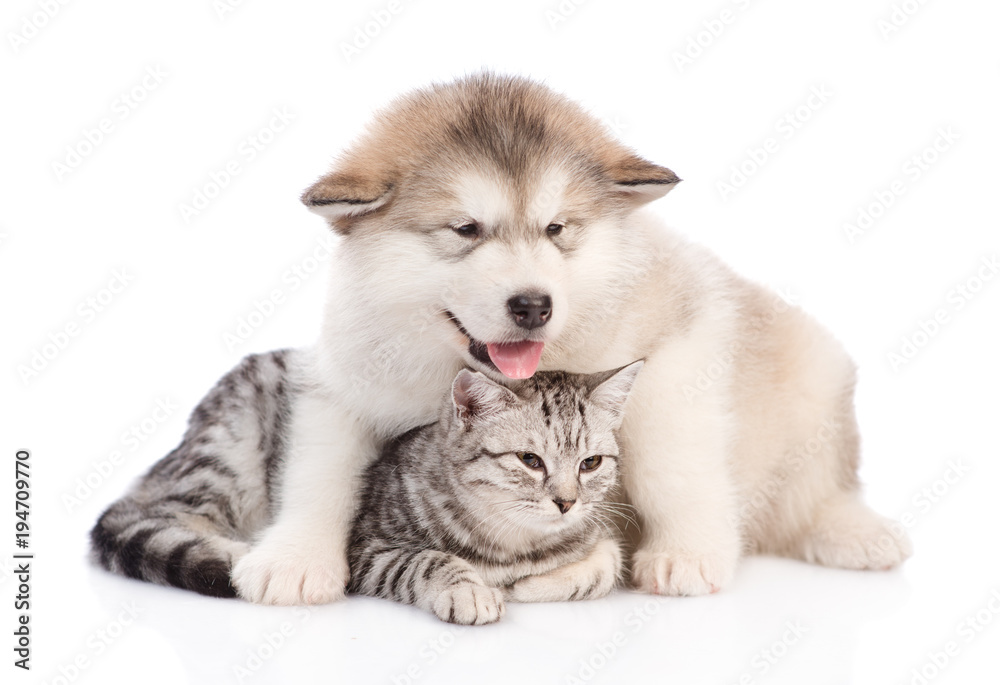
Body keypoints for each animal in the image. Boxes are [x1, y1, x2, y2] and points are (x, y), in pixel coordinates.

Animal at [230, 72, 912, 600]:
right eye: (466, 229)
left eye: (556, 228)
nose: (533, 304)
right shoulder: (341, 381)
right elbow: (319, 470)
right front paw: (293, 559)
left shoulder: (678, 350)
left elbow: (669, 463)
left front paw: (685, 553)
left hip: (815, 382)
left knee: (821, 488)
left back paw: (859, 533)